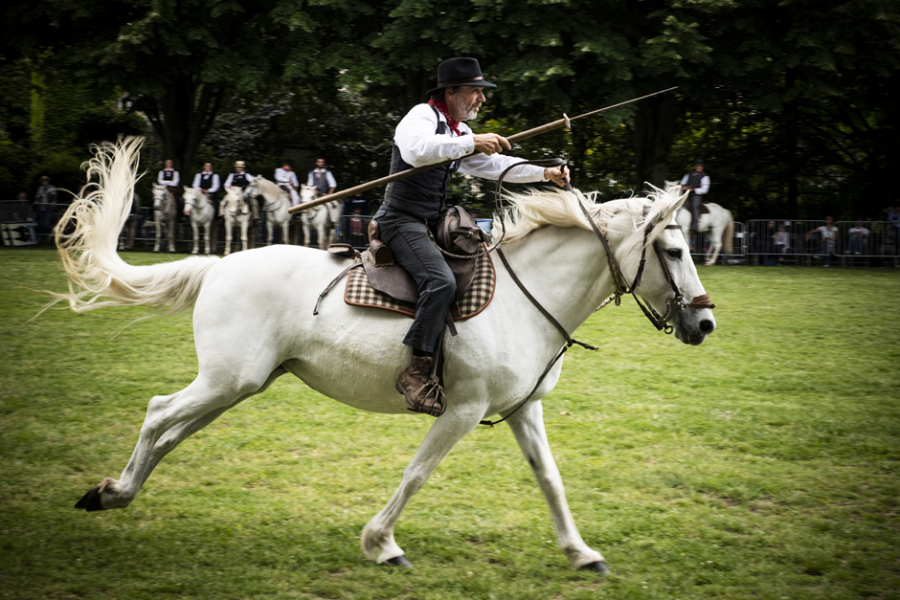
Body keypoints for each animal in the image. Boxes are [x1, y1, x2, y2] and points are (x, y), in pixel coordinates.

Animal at [54, 139, 716, 572]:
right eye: (674, 250)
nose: (705, 322)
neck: (527, 297)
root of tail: (218, 265)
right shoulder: (461, 411)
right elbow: (417, 473)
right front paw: (382, 543)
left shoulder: (524, 410)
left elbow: (550, 479)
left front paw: (581, 553)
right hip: (226, 381)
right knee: (159, 412)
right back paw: (112, 493)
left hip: (237, 386)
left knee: (171, 431)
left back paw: (115, 491)